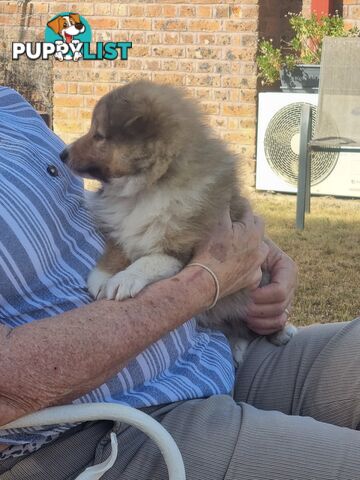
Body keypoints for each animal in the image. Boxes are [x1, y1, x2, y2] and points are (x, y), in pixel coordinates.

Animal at [59, 80, 296, 362]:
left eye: (99, 135)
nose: (62, 154)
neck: (150, 186)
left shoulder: (180, 248)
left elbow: (149, 260)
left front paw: (123, 280)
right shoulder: (122, 226)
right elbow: (118, 247)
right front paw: (102, 277)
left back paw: (281, 333)